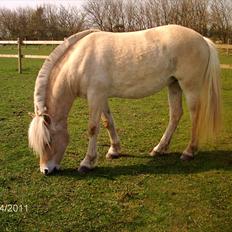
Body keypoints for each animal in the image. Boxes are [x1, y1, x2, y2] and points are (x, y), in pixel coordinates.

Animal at [27, 24, 221, 174]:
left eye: (48, 141)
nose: (45, 170)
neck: (79, 60)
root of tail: (202, 39)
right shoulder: (101, 97)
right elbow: (108, 123)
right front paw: (114, 151)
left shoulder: (95, 96)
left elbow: (92, 128)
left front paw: (87, 162)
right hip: (173, 85)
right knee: (175, 115)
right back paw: (159, 149)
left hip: (190, 86)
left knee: (195, 115)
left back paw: (189, 152)